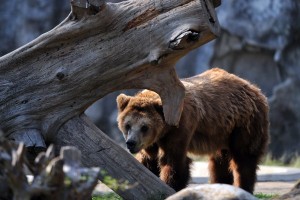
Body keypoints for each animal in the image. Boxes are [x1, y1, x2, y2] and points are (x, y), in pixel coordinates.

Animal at [115, 68, 270, 193]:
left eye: (144, 127)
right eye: (128, 125)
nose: (131, 143)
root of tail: (254, 88)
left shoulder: (182, 125)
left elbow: (174, 161)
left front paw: (170, 185)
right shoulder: (153, 142)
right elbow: (148, 160)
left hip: (244, 124)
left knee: (243, 160)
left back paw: (243, 187)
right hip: (222, 131)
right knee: (220, 161)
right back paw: (220, 184)